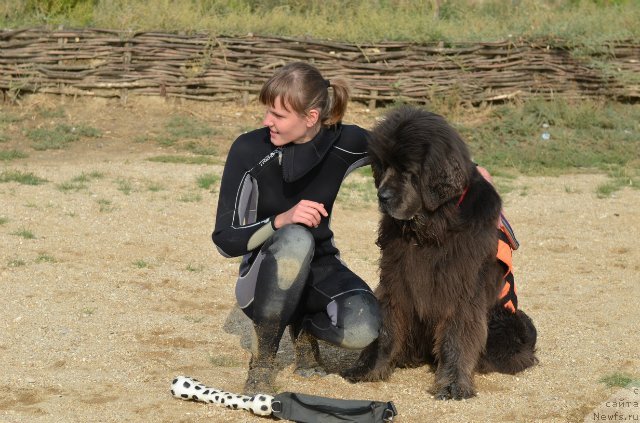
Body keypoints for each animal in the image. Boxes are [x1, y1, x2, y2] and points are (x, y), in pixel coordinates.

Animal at [342, 105, 536, 400]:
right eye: (382, 166)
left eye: (408, 170)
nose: (382, 196)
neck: (431, 228)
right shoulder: (395, 280)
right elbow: (386, 328)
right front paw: (368, 368)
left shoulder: (462, 289)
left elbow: (456, 338)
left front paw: (454, 384)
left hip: (507, 320)